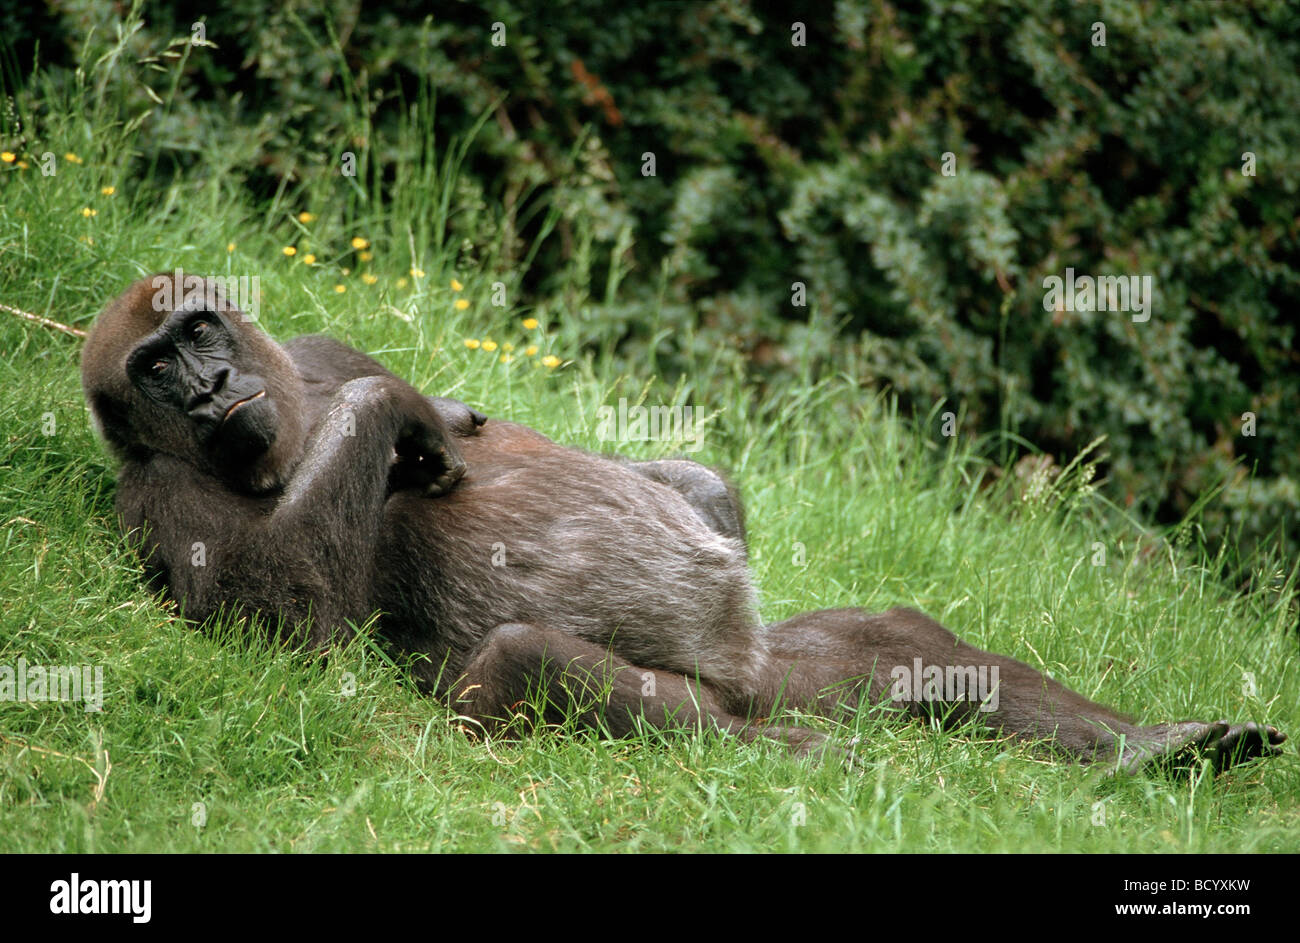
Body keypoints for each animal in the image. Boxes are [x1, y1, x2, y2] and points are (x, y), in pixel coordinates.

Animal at [83, 271, 1289, 770]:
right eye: (156, 370)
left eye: (199, 330)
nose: (208, 386)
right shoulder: (151, 494)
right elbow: (283, 622)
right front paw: (400, 415)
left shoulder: (315, 347)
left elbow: (672, 483)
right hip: (714, 701)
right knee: (526, 663)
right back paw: (794, 754)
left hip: (783, 666)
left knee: (889, 643)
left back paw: (1146, 749)